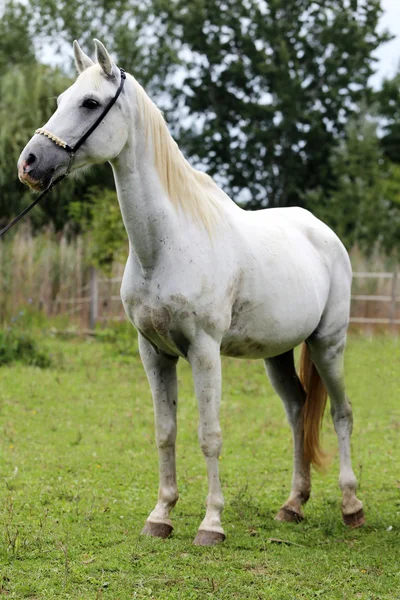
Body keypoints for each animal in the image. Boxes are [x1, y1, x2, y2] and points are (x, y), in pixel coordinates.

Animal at [17, 37, 364, 544]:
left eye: (90, 103)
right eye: (61, 99)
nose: (29, 163)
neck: (166, 244)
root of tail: (322, 233)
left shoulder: (204, 350)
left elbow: (209, 434)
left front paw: (211, 523)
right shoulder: (153, 352)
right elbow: (166, 432)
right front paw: (160, 515)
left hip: (328, 343)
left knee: (341, 413)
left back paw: (351, 506)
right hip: (278, 353)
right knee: (299, 410)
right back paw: (293, 505)